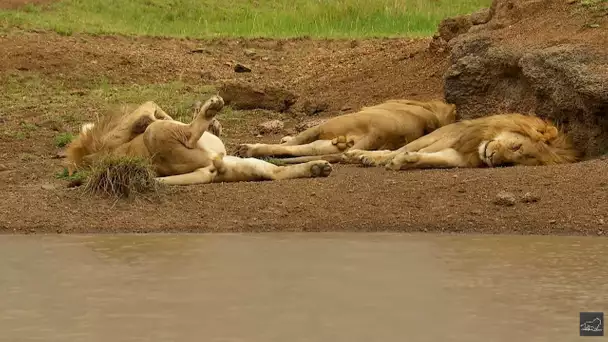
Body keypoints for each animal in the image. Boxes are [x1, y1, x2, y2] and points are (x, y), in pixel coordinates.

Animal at [233, 98, 456, 164]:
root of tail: (380, 132)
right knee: (300, 149)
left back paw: (247, 149)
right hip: (329, 141)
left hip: (330, 124)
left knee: (295, 144)